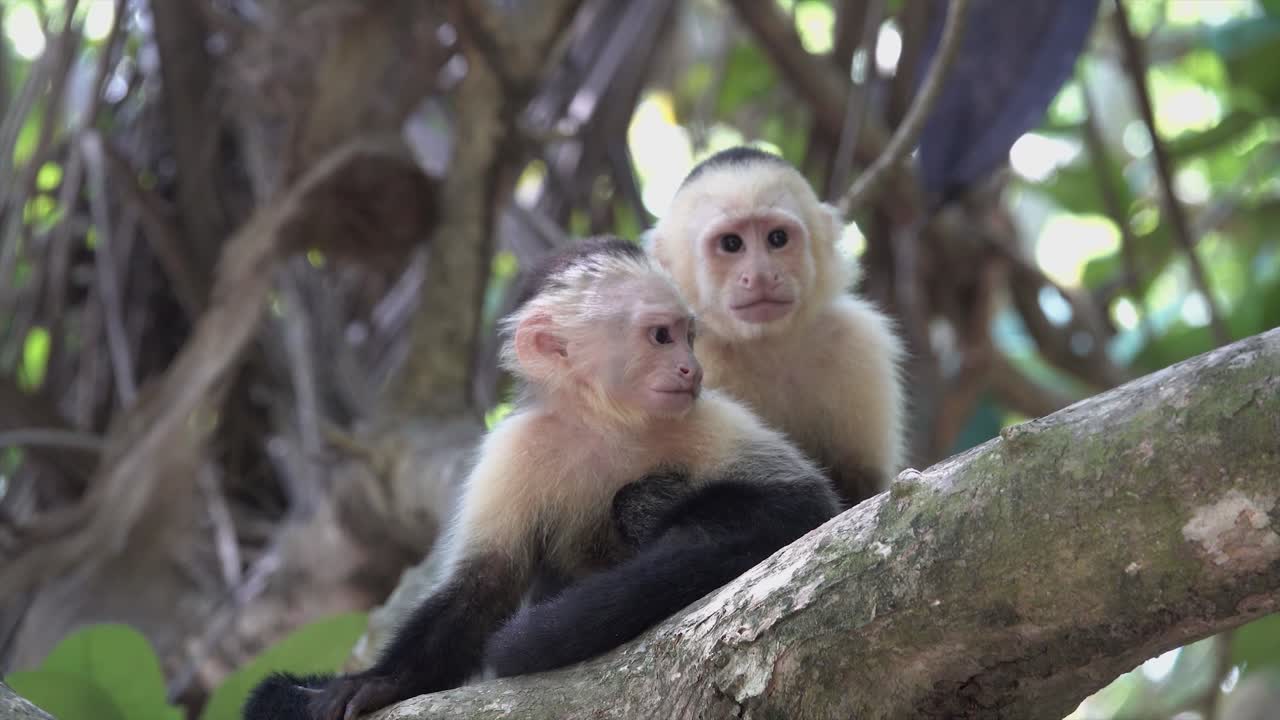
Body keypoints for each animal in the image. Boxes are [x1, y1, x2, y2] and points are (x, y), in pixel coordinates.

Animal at [242, 236, 840, 720]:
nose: (691, 369)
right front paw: (382, 681)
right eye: (661, 337)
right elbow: (483, 585)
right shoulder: (511, 452)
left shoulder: (706, 418)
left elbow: (805, 505)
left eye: (688, 336)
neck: (605, 423)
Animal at [646, 146, 906, 508]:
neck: (764, 347)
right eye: (731, 244)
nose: (761, 276)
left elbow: (864, 484)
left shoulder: (857, 342)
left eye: (777, 238)